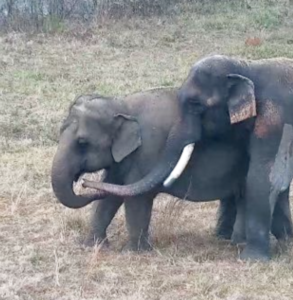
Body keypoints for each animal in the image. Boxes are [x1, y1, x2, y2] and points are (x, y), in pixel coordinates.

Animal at [51, 88, 290, 252]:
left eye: (82, 142)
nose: (84, 183)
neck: (122, 104)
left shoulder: (148, 152)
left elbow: (137, 198)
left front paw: (134, 252)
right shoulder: (124, 160)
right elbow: (112, 196)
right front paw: (92, 246)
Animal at [86, 55, 293, 260]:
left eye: (196, 104)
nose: (85, 183)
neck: (247, 66)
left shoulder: (274, 117)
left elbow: (264, 176)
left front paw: (251, 259)